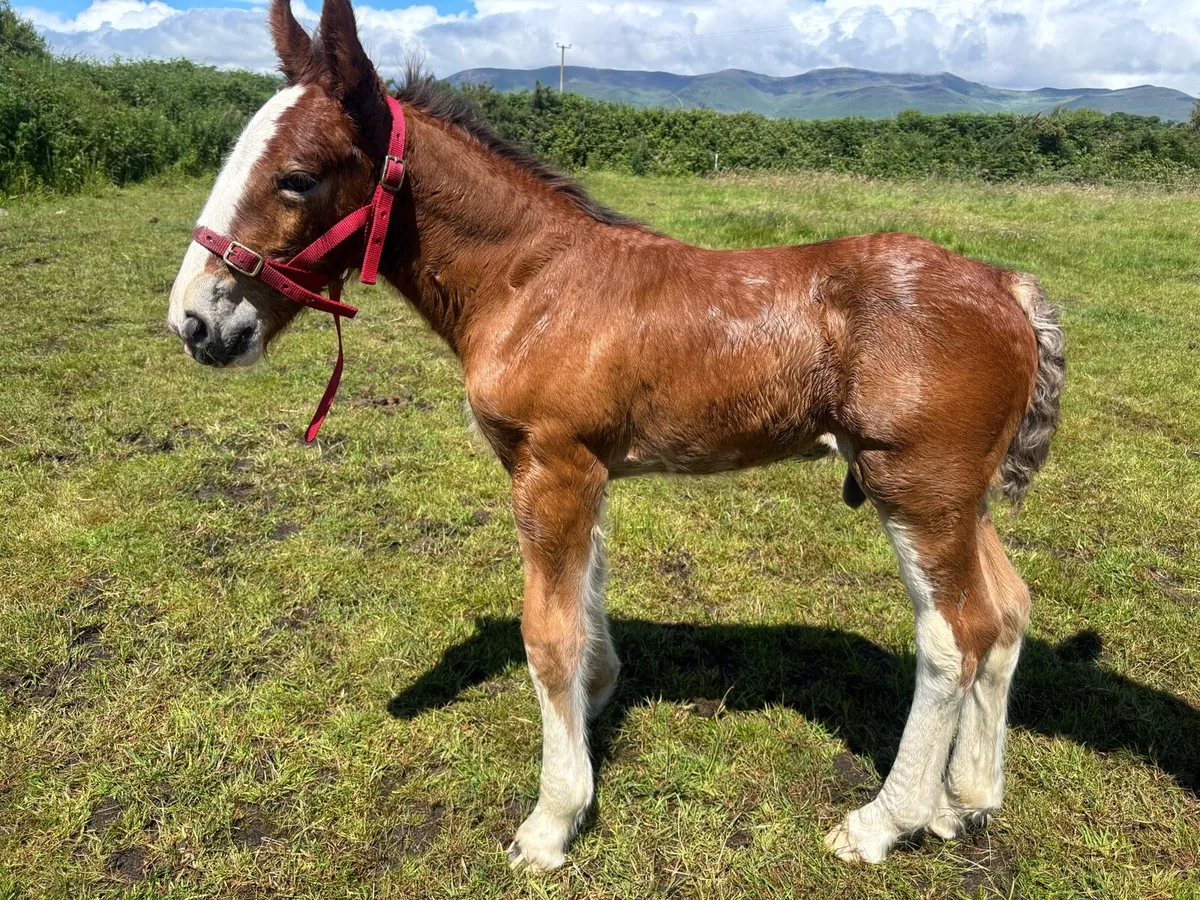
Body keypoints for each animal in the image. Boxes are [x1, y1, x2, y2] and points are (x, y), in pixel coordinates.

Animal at [166, 0, 1065, 871]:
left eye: (296, 177)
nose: (196, 323)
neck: (534, 283)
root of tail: (1006, 287)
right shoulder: (584, 468)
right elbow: (588, 595)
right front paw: (600, 698)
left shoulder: (550, 467)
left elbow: (547, 635)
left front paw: (552, 821)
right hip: (960, 497)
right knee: (1008, 610)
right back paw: (966, 800)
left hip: (915, 487)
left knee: (954, 639)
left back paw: (884, 823)